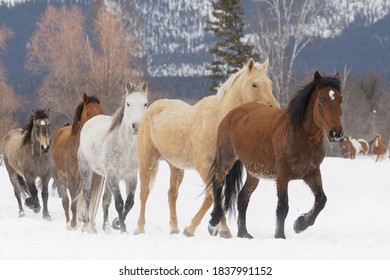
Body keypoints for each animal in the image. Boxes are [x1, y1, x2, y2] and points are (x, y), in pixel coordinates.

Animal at [51, 92, 103, 230]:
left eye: (101, 112)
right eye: (87, 113)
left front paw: (88, 224)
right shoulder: (71, 178)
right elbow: (73, 202)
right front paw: (74, 224)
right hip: (60, 178)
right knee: (65, 201)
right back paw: (69, 223)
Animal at [77, 81, 149, 234]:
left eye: (145, 103)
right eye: (128, 103)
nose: (136, 126)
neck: (125, 147)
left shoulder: (131, 177)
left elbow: (129, 203)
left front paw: (118, 225)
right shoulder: (113, 176)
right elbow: (119, 203)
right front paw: (122, 228)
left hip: (106, 178)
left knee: (105, 200)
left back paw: (106, 227)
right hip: (87, 171)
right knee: (87, 196)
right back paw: (86, 224)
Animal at [135, 58, 280, 237]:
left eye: (270, 83)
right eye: (254, 84)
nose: (275, 108)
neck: (218, 120)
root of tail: (153, 108)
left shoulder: (221, 168)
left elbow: (216, 197)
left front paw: (219, 229)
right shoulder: (204, 166)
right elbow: (213, 196)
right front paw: (196, 229)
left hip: (176, 167)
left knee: (172, 194)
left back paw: (174, 229)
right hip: (147, 159)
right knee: (144, 192)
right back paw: (139, 229)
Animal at [209, 71, 342, 238]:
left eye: (340, 100)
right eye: (321, 100)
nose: (336, 133)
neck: (300, 136)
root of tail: (232, 114)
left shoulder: (311, 172)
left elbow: (321, 200)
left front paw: (300, 224)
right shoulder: (282, 175)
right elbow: (283, 207)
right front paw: (280, 236)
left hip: (254, 172)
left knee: (242, 197)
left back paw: (244, 233)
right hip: (226, 159)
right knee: (217, 184)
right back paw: (213, 222)